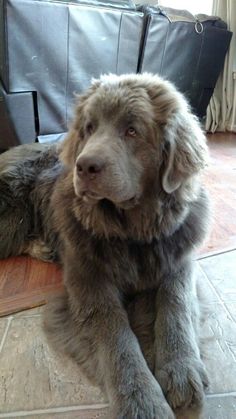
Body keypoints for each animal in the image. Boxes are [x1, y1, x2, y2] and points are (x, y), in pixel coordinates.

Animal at [0, 74, 210, 418]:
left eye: (132, 130)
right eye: (89, 128)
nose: (84, 166)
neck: (133, 231)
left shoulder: (179, 260)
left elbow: (175, 304)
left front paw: (182, 368)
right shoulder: (89, 282)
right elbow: (115, 335)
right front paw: (142, 401)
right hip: (12, 218)